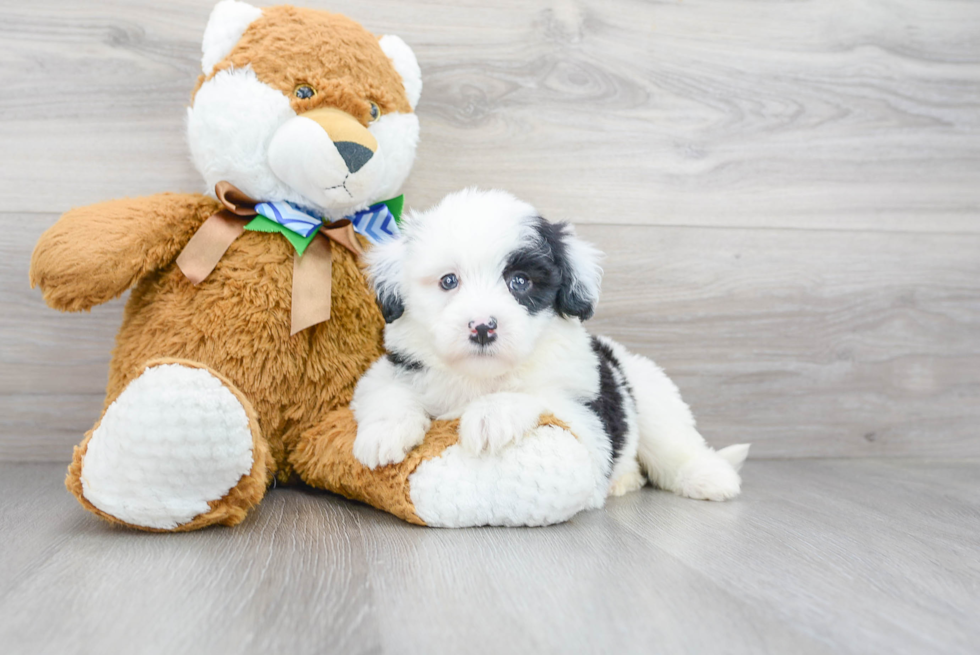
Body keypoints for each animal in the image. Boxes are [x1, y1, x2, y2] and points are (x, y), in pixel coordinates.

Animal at [352, 190, 752, 502]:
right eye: (448, 281)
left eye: (520, 281)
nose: (482, 327)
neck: (481, 376)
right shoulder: (390, 369)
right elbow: (387, 391)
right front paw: (383, 434)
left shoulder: (587, 417)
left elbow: (540, 394)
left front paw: (491, 414)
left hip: (652, 397)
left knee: (675, 445)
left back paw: (709, 477)